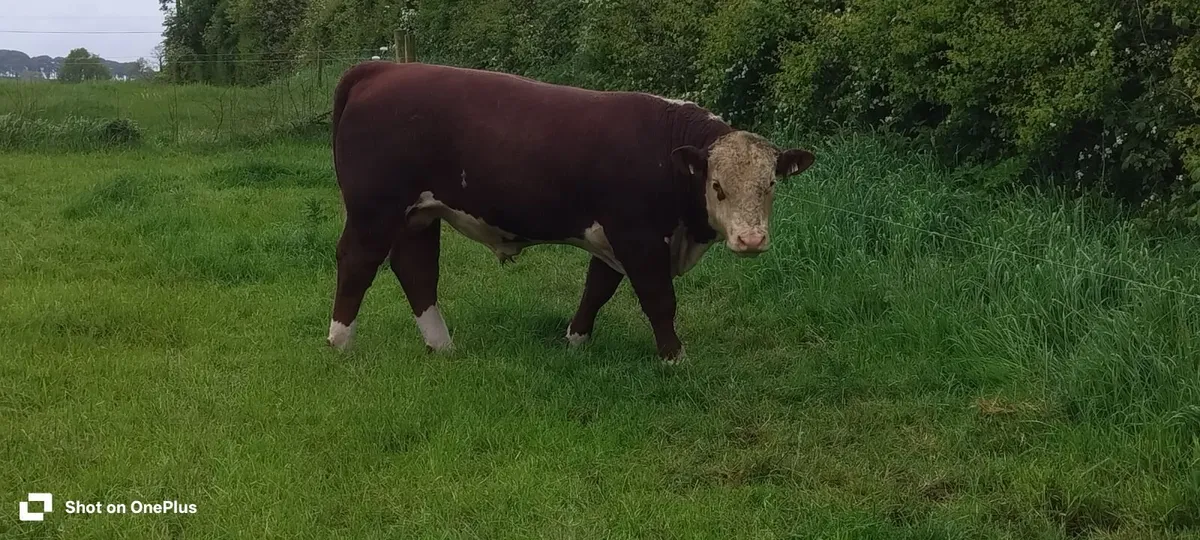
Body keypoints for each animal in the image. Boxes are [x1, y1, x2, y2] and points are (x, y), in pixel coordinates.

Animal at [325, 61, 815, 363]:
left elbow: (596, 290)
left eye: (771, 185)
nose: (751, 240)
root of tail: (383, 69)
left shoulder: (612, 239)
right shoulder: (637, 237)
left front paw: (575, 341)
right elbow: (659, 300)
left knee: (417, 269)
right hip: (374, 210)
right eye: (717, 186)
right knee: (358, 262)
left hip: (419, 215)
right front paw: (674, 357)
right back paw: (340, 342)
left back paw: (442, 345)